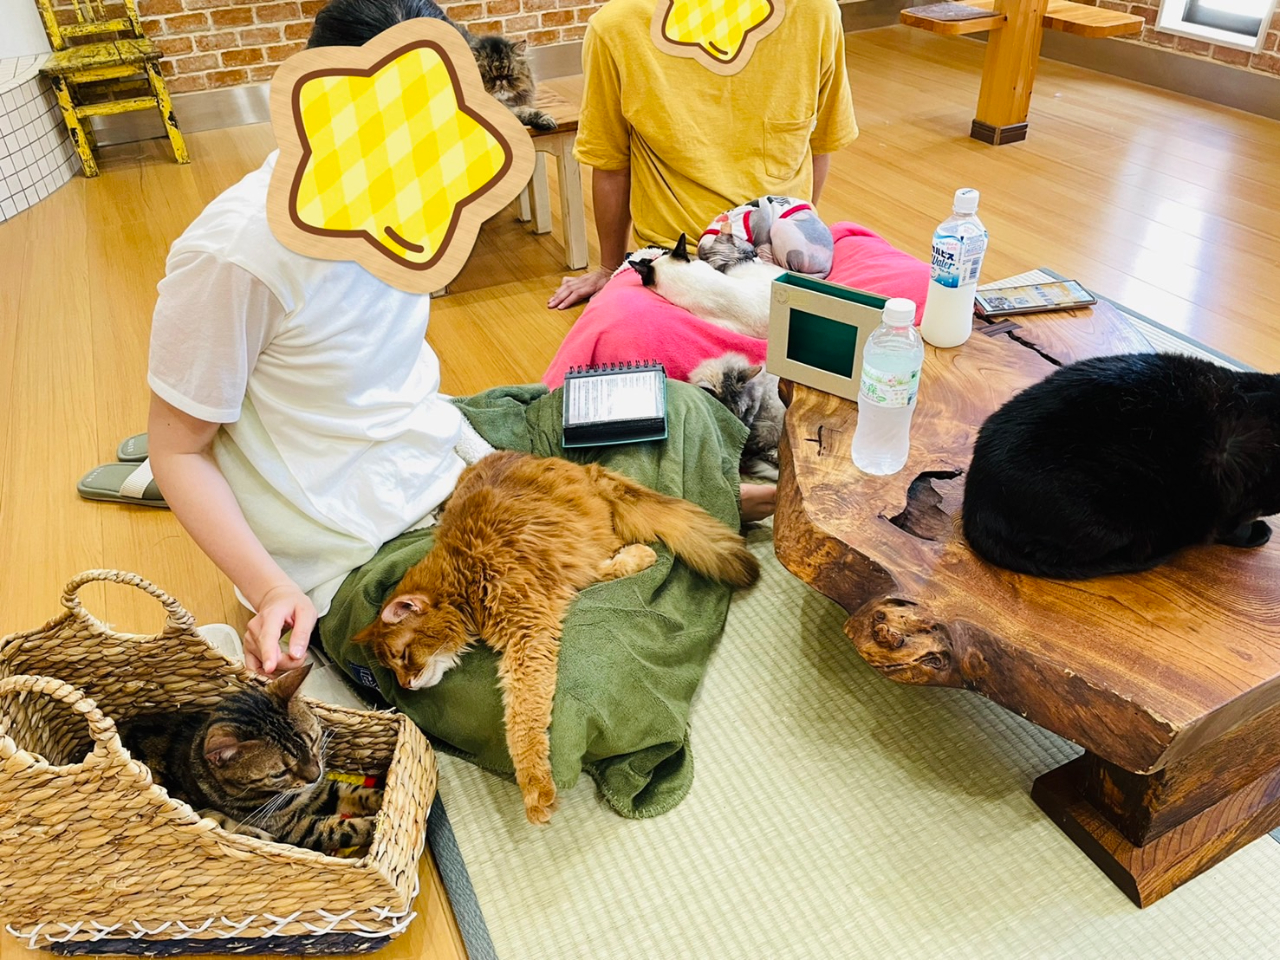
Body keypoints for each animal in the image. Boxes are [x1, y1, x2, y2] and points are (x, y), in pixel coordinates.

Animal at [117, 665, 382, 854]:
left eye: (314, 742)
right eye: (279, 773)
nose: (315, 775)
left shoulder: (322, 791)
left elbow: (357, 792)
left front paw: (382, 800)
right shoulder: (298, 829)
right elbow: (345, 829)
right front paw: (374, 826)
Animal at [352, 450, 759, 825]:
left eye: (403, 656)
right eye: (394, 667)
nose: (407, 685)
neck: (461, 575)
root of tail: (583, 468)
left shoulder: (528, 634)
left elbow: (522, 724)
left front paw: (535, 789)